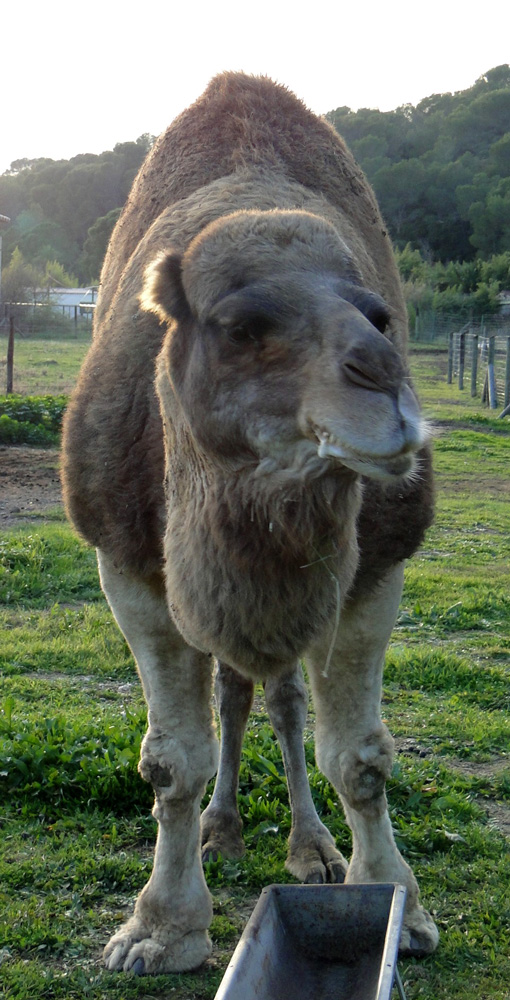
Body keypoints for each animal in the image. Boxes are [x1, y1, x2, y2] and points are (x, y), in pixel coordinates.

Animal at [61, 72, 438, 976]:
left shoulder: (376, 569)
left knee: (282, 696)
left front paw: (399, 907)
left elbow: (359, 758)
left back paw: (309, 847)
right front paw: (159, 930)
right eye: (240, 327)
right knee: (236, 688)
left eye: (379, 315)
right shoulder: (129, 564)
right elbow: (171, 762)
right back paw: (221, 831)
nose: (386, 381)